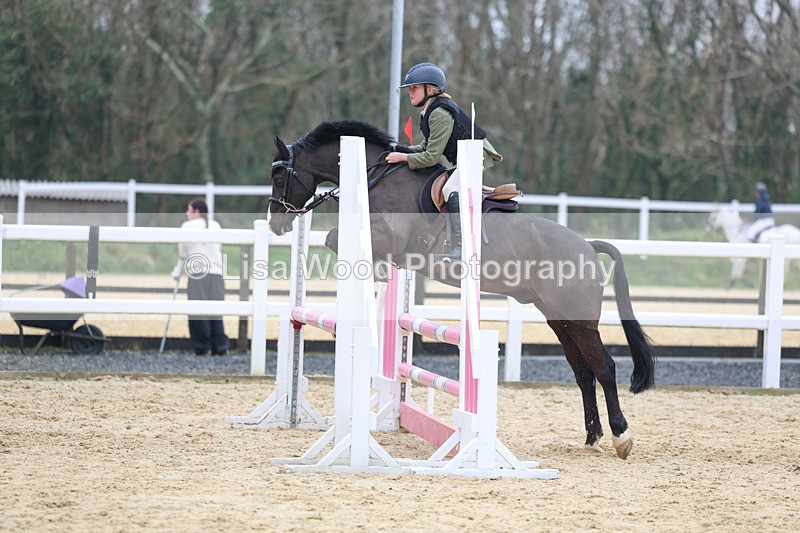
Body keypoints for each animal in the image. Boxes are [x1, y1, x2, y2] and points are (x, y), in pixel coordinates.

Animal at [267, 120, 656, 460]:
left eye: (278, 177)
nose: (276, 224)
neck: (375, 177)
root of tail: (588, 246)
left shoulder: (392, 237)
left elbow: (336, 237)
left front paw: (375, 268)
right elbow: (337, 239)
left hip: (579, 321)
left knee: (604, 367)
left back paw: (621, 437)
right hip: (559, 319)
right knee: (583, 372)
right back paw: (592, 437)